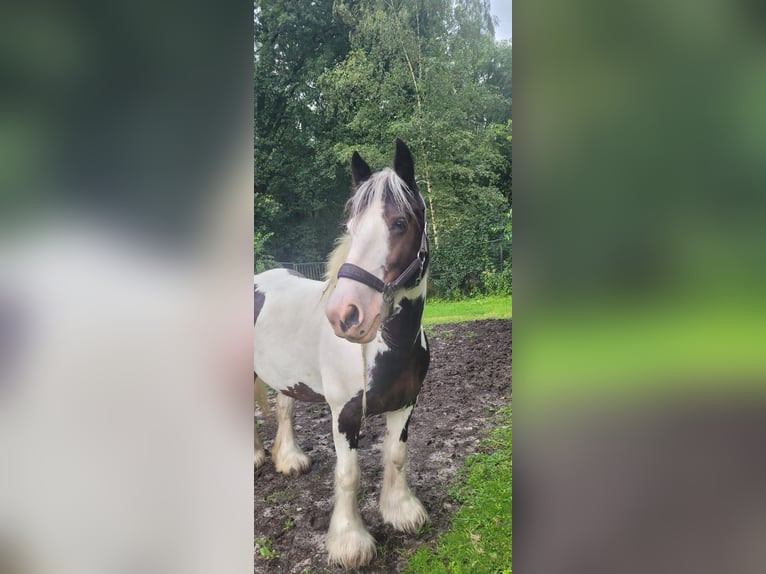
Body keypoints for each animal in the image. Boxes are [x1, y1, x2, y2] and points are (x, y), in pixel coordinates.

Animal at [254, 141, 428, 572]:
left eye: (399, 223)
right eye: (350, 229)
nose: (345, 315)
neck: (391, 345)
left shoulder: (406, 405)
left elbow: (396, 455)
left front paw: (401, 511)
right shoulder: (344, 415)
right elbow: (348, 475)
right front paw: (350, 543)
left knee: (284, 409)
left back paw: (289, 459)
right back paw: (256, 457)